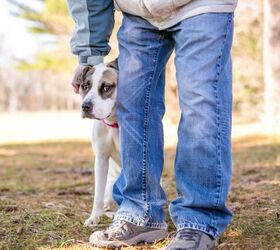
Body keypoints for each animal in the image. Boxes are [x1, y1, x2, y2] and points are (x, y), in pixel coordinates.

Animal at [77, 60, 120, 227]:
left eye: (106, 87)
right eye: (85, 86)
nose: (85, 106)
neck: (114, 123)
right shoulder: (101, 159)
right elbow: (98, 195)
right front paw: (94, 217)